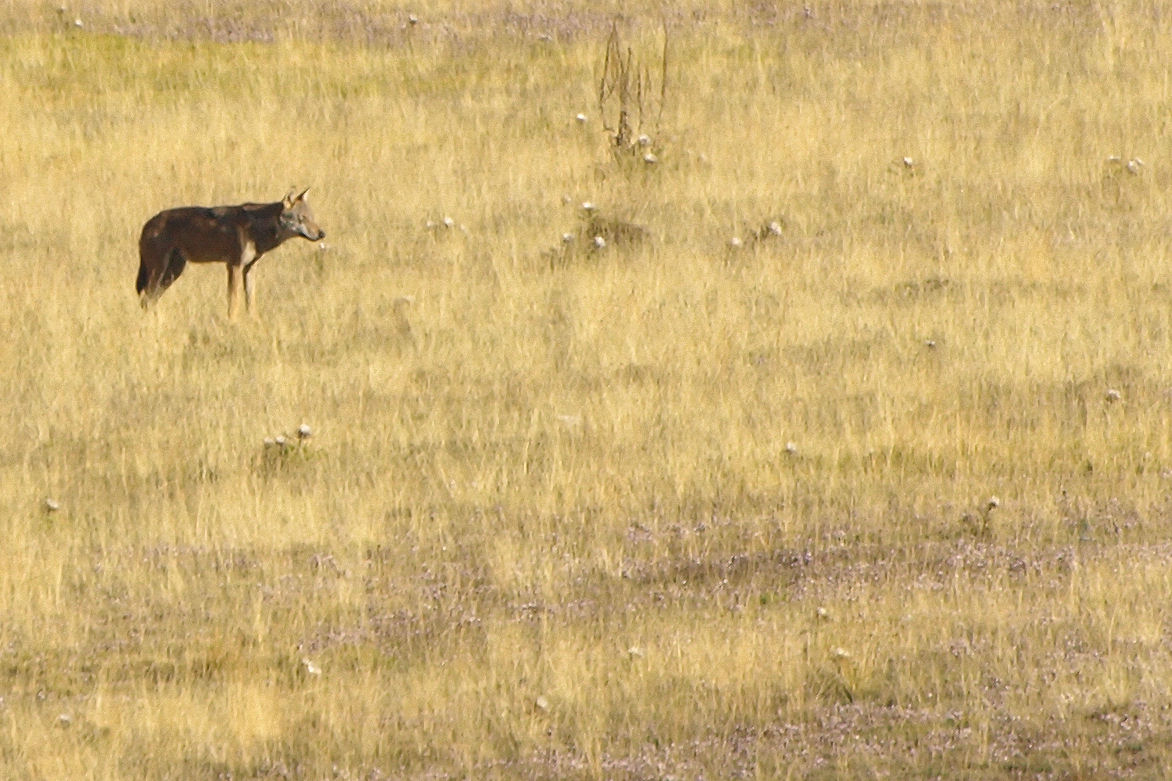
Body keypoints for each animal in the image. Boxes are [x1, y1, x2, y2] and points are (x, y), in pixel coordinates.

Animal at [136, 188, 325, 317]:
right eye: (302, 218)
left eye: (312, 217)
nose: (322, 233)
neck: (257, 228)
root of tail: (147, 224)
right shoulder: (233, 266)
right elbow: (233, 303)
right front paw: (232, 323)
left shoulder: (250, 268)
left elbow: (251, 302)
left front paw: (253, 322)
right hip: (160, 272)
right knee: (146, 299)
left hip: (173, 273)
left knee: (150, 300)